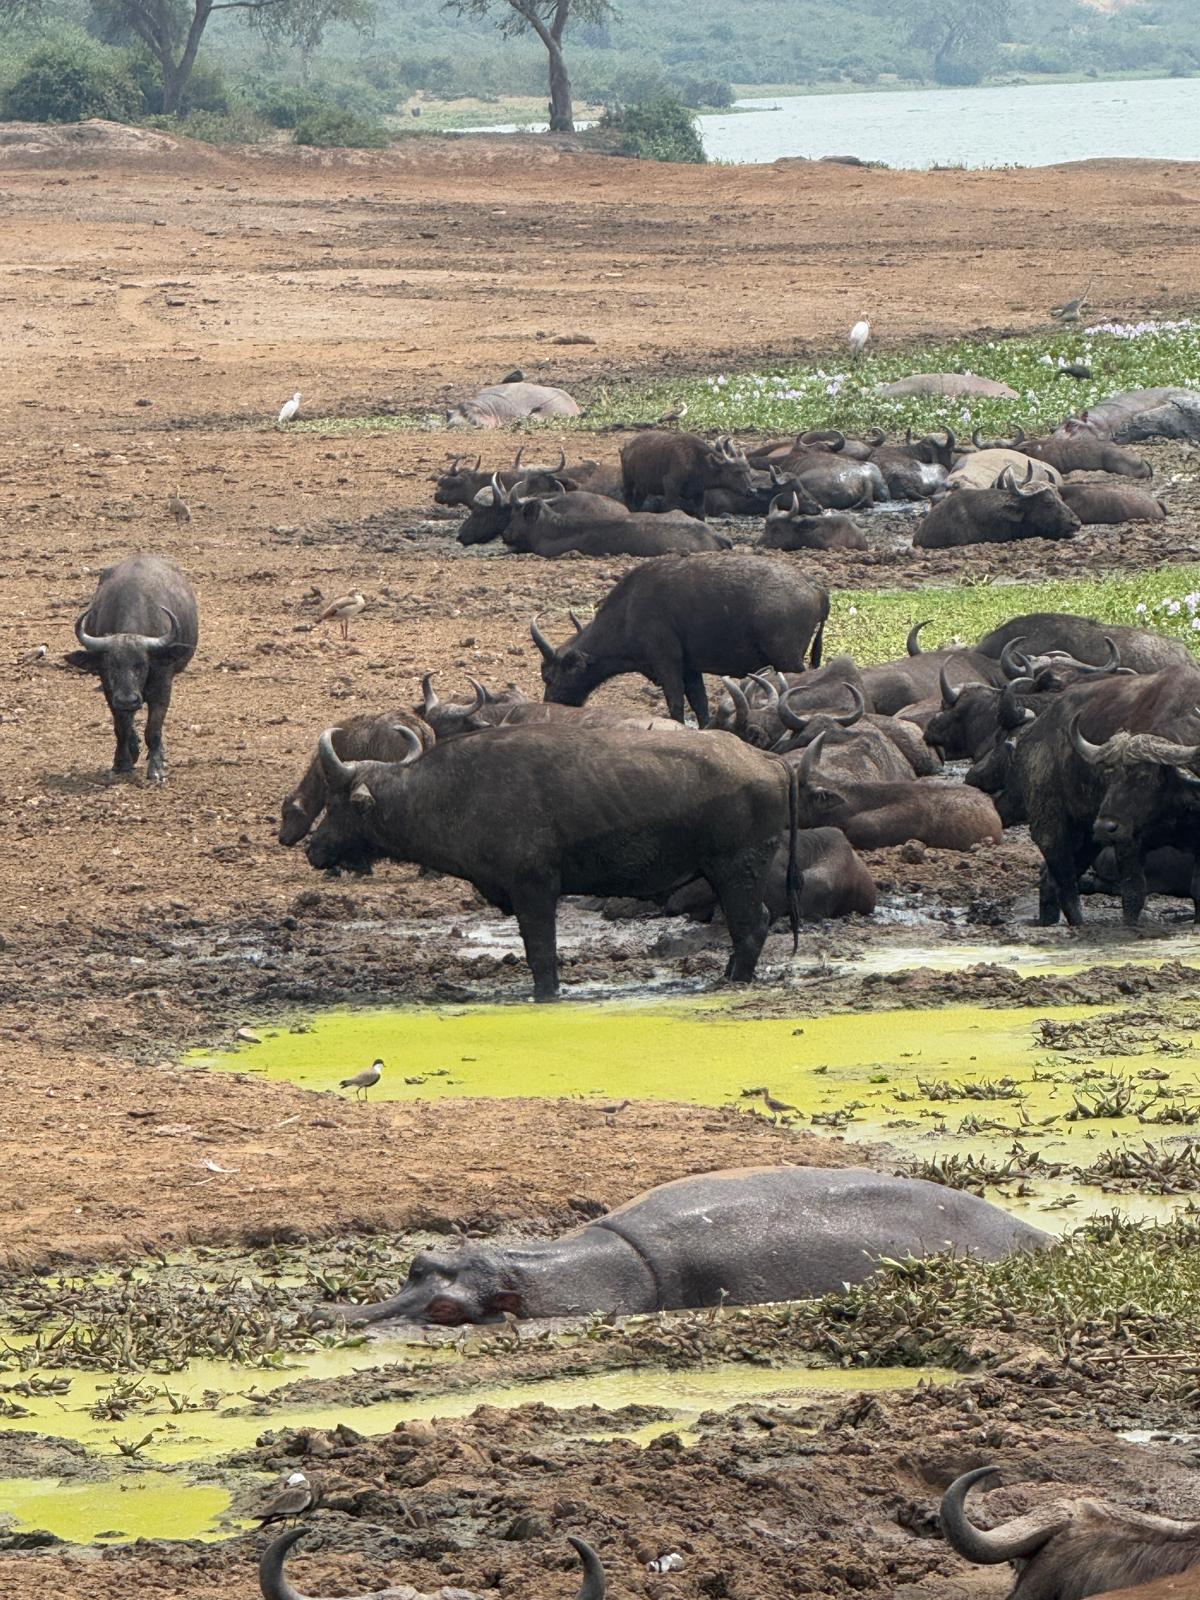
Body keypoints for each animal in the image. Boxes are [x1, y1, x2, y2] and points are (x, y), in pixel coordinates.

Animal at [65, 554, 198, 783]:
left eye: (142, 664)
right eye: (111, 665)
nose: (128, 699)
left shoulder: (163, 686)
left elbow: (153, 729)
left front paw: (156, 768)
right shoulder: (110, 690)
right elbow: (121, 726)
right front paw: (122, 761)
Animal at [304, 721, 801, 999]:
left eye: (337, 800)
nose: (314, 848)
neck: (452, 793)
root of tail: (767, 759)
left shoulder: (534, 890)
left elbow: (541, 953)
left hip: (736, 870)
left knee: (752, 924)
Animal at [533, 553, 829, 726]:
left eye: (549, 676)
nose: (550, 703)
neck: (628, 611)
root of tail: (813, 585)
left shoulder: (667, 664)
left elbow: (675, 704)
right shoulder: (690, 669)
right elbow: (700, 704)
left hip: (788, 660)